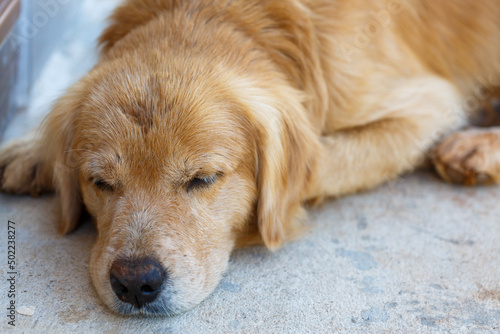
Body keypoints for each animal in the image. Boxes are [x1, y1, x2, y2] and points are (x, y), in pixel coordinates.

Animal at [0, 0, 500, 316]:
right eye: (100, 182)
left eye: (203, 179)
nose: (135, 283)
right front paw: (33, 153)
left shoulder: (428, 104)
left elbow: (320, 164)